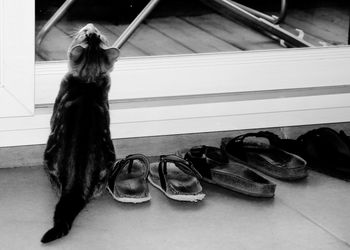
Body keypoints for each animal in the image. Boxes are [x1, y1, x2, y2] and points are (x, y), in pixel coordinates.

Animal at [41, 23, 119, 244]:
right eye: (94, 34)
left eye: (86, 33)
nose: (90, 26)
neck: (88, 80)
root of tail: (75, 187)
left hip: (49, 156)